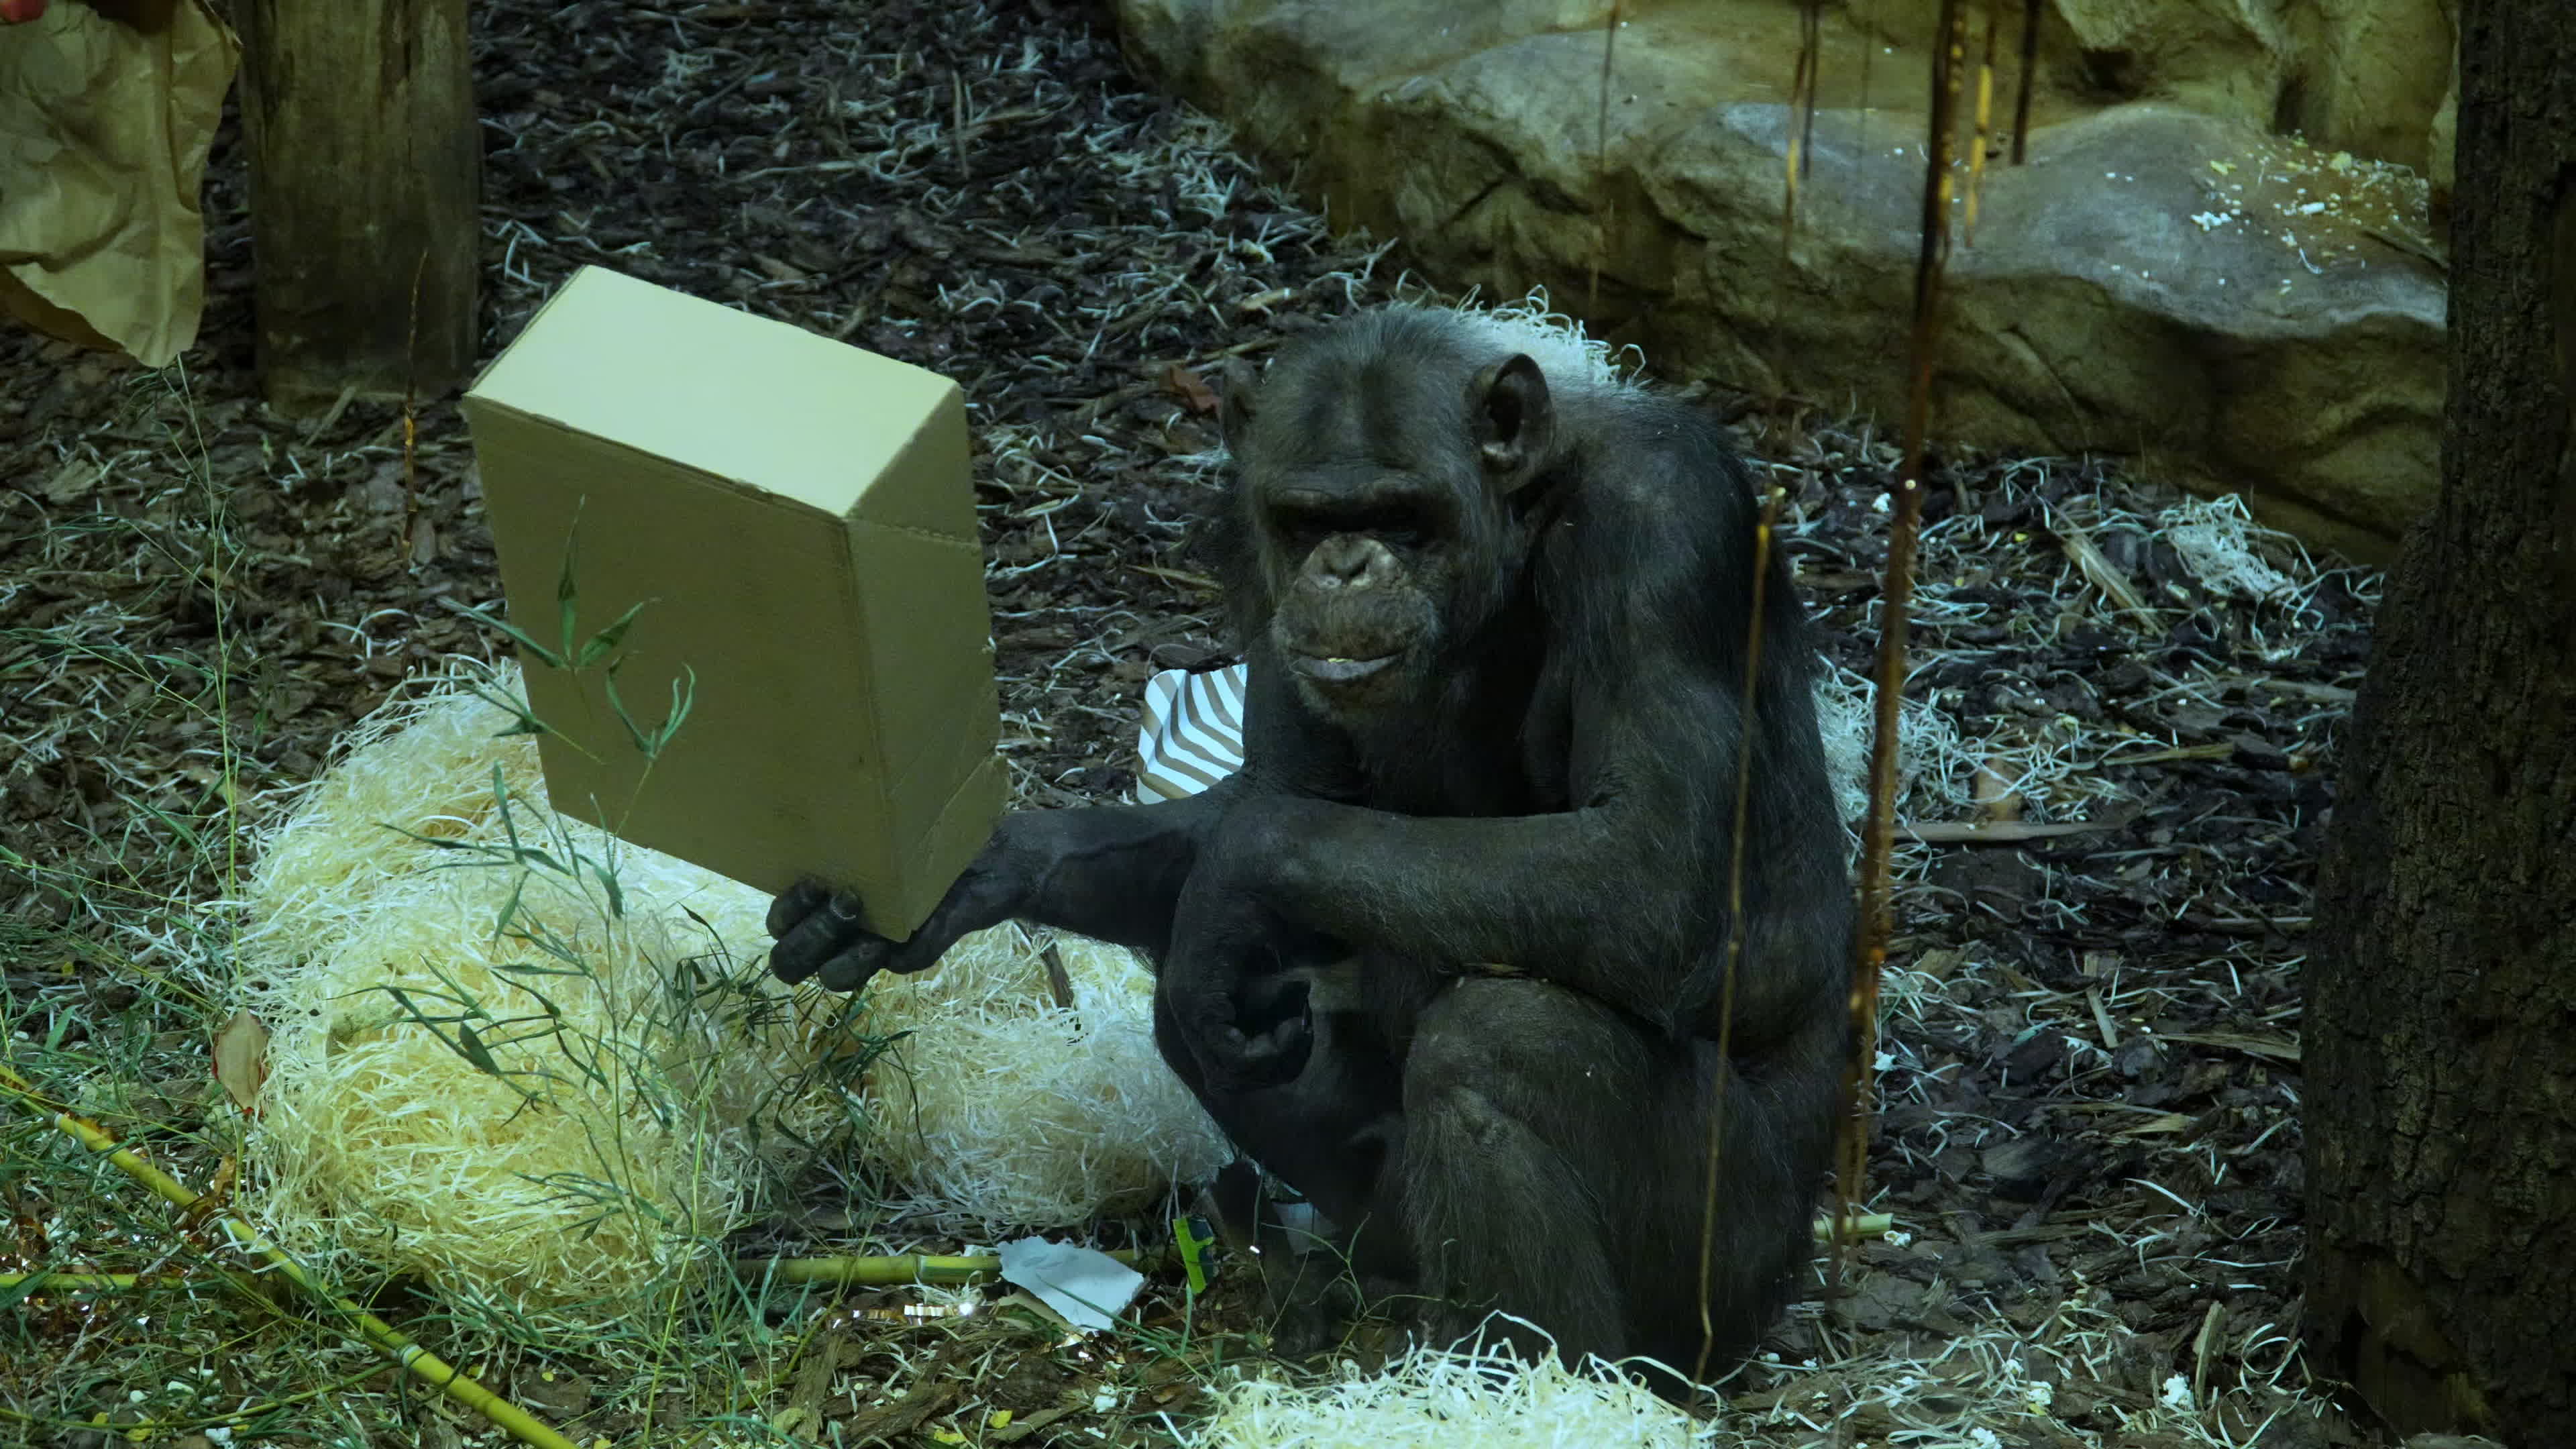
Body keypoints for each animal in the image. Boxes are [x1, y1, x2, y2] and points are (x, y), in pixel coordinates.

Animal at [767, 304, 1854, 1390]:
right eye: (1304, 523)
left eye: (1402, 516)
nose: (1344, 566)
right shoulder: (1250, 555)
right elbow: (1283, 804)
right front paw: (986, 868)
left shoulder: (1668, 530)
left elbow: (1647, 868)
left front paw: (1228, 881)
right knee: (1238, 1018)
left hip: (1731, 1262)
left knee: (1504, 1041)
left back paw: (1530, 1382)